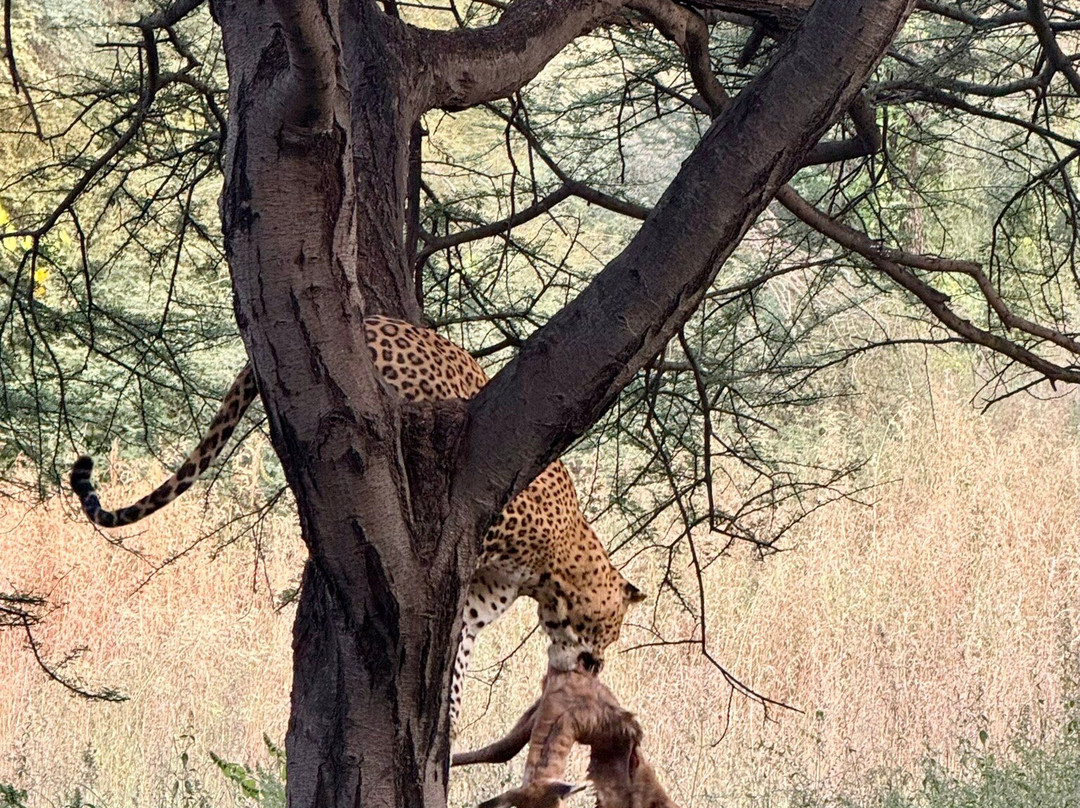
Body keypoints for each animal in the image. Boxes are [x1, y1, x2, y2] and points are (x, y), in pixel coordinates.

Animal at [70, 315, 645, 729]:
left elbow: (458, 655)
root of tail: (370, 318)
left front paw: (450, 716)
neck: (557, 571)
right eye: (611, 630)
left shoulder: (478, 597)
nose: (595, 667)